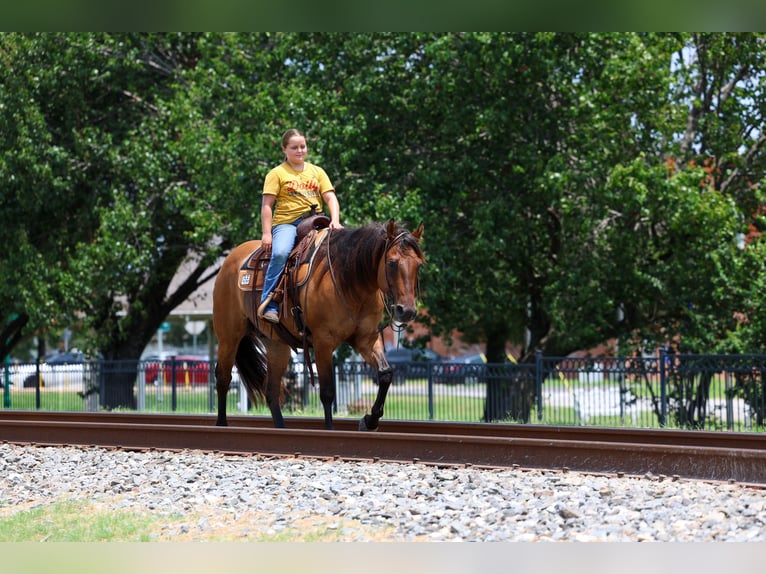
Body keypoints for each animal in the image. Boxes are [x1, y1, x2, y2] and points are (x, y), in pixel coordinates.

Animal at [212, 219, 425, 431]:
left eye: (419, 265)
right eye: (391, 263)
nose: (406, 310)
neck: (349, 281)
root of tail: (231, 258)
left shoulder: (367, 339)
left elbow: (386, 374)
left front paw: (369, 420)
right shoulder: (323, 342)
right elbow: (328, 392)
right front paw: (330, 429)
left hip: (276, 345)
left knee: (271, 391)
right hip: (228, 337)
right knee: (223, 378)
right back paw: (221, 424)